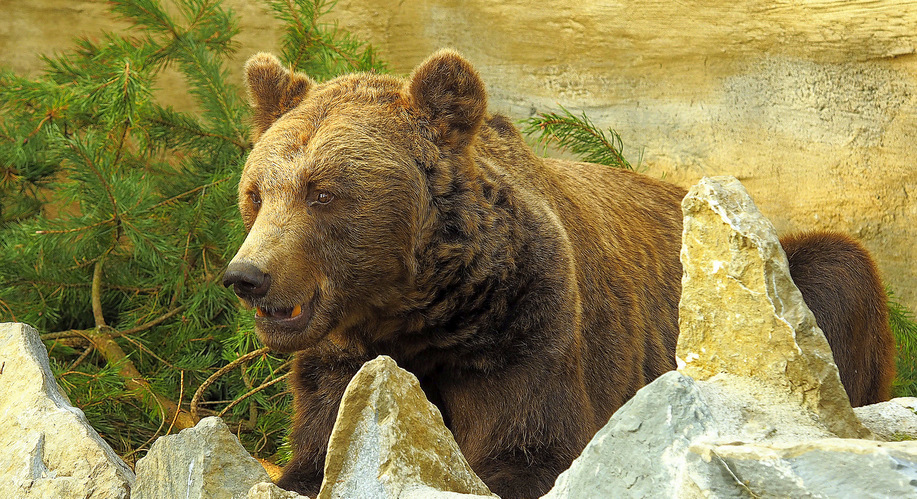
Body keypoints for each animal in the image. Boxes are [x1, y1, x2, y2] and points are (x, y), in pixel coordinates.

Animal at [224, 47, 896, 499]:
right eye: (256, 194)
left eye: (322, 192)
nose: (247, 275)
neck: (417, 312)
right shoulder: (342, 359)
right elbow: (316, 451)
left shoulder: (521, 322)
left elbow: (528, 448)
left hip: (762, 272)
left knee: (835, 270)